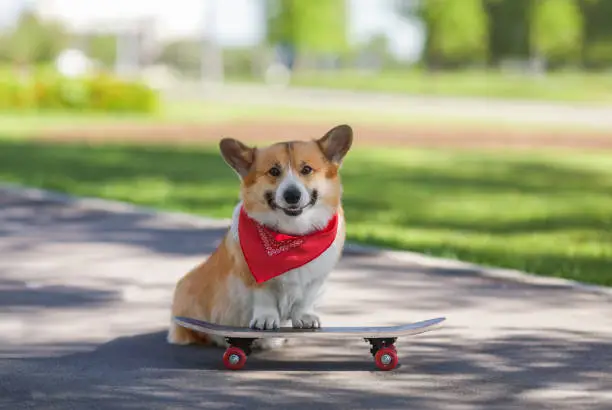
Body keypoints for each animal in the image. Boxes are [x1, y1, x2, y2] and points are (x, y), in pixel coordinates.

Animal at [167, 123, 354, 348]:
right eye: (274, 171)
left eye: (307, 169)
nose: (292, 195)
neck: (291, 235)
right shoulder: (252, 276)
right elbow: (264, 298)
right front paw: (266, 319)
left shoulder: (316, 280)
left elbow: (305, 300)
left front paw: (304, 317)